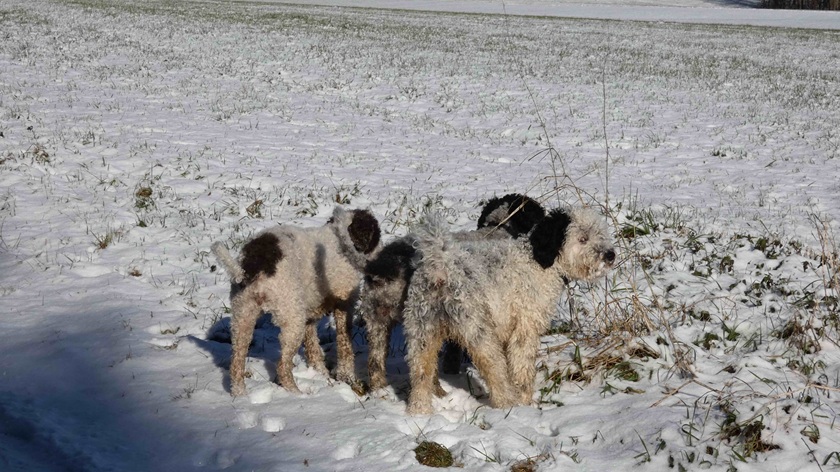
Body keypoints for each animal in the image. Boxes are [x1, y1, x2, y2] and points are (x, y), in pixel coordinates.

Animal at [211, 207, 380, 396]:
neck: (339, 237)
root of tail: (250, 269)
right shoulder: (344, 303)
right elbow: (345, 344)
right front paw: (346, 377)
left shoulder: (310, 313)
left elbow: (313, 347)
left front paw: (320, 373)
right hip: (292, 318)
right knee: (282, 367)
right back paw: (297, 394)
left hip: (243, 316)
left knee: (236, 364)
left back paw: (240, 395)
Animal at [333, 194, 545, 392]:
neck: (498, 228)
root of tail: (384, 265)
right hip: (423, 322)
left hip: (377, 322)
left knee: (375, 363)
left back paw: (380, 390)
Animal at [402, 206, 615, 415]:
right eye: (583, 239)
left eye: (600, 234)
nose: (610, 255)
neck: (537, 260)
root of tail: (440, 268)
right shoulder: (525, 328)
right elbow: (521, 367)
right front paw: (524, 400)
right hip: (478, 330)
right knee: (493, 369)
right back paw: (508, 404)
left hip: (422, 333)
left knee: (420, 374)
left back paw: (419, 412)